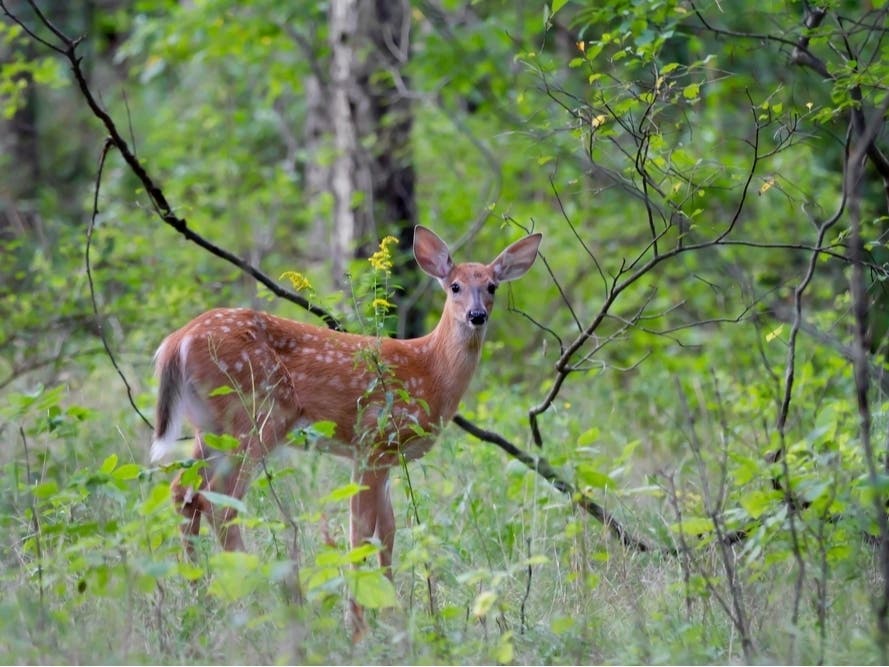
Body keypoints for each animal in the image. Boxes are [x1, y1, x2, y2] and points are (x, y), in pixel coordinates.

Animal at [150, 225, 541, 634]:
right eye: (455, 286)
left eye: (492, 286)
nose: (476, 315)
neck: (431, 371)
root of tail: (175, 342)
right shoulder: (372, 440)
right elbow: (361, 531)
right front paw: (358, 624)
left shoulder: (385, 456)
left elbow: (387, 532)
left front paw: (392, 614)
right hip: (255, 414)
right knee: (219, 501)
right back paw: (258, 598)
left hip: (209, 425)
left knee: (183, 492)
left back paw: (201, 597)